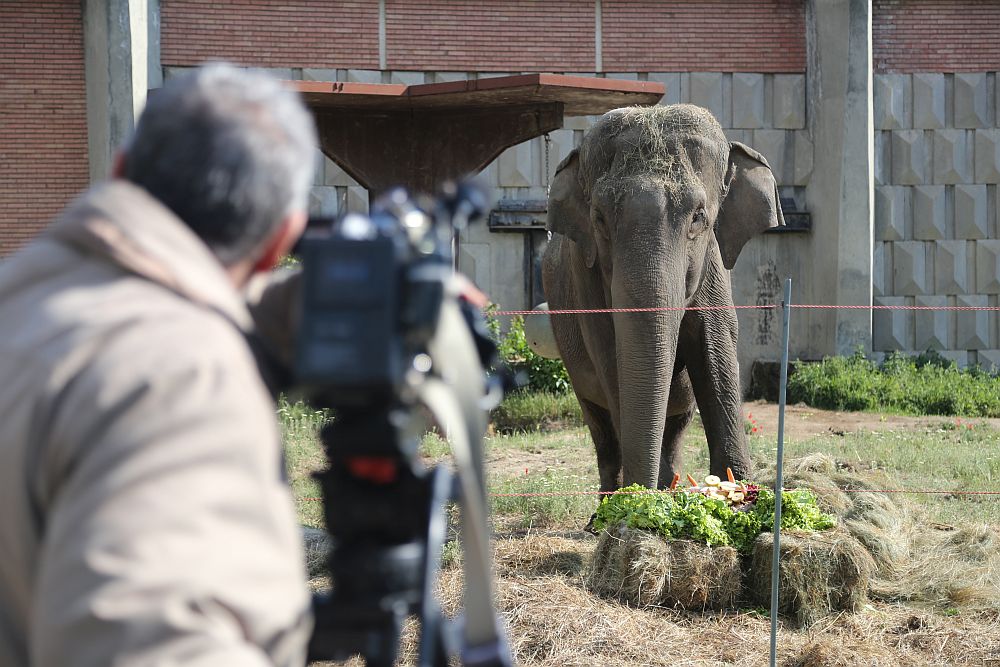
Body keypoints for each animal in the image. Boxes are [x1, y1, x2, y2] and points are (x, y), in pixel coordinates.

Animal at [540, 104, 780, 496]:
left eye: (699, 217)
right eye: (599, 219)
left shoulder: (714, 265)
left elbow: (716, 352)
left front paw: (744, 491)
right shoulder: (584, 279)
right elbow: (613, 361)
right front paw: (643, 501)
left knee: (676, 424)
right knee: (602, 429)